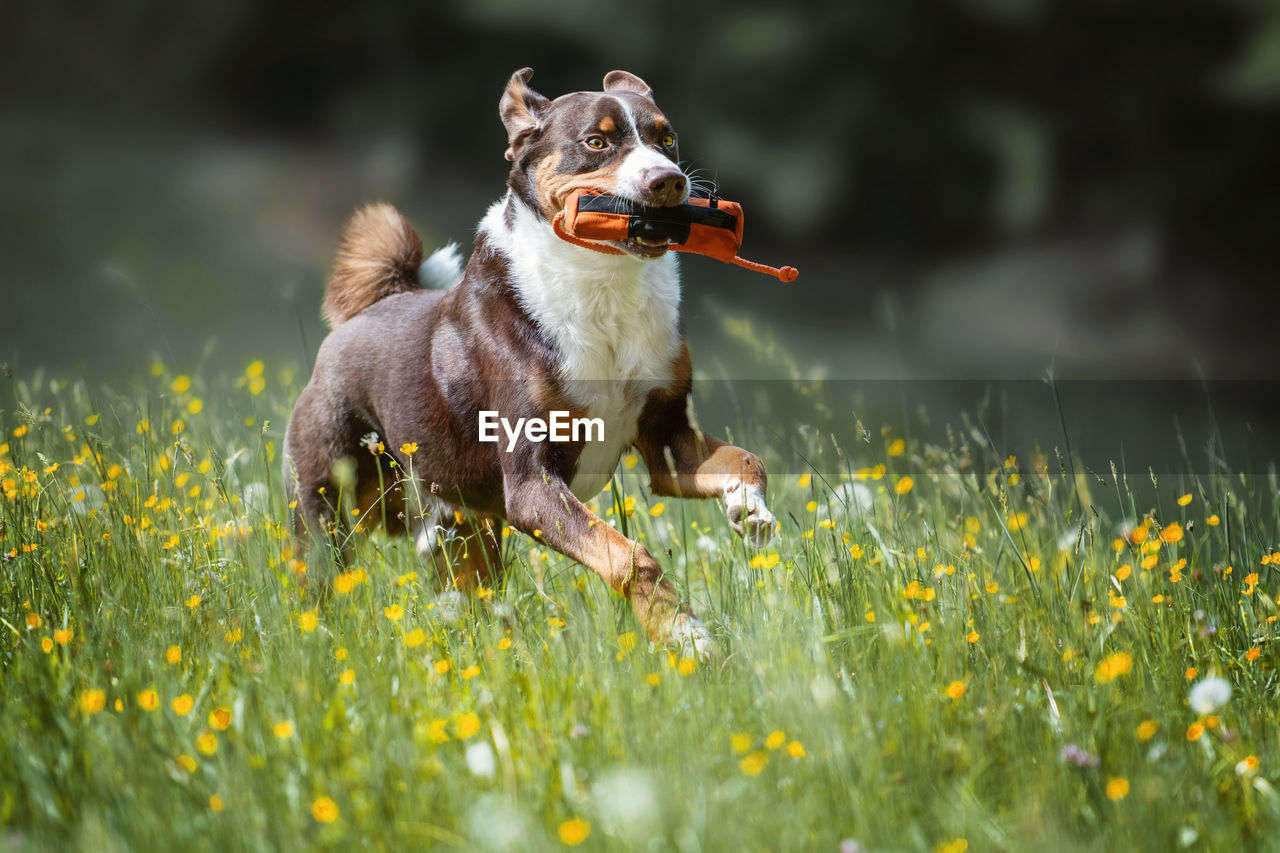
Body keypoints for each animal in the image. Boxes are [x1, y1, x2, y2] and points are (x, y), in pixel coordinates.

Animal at [285, 68, 773, 655]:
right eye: (596, 142)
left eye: (667, 138)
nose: (669, 181)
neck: (603, 289)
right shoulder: (530, 483)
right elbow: (630, 558)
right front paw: (686, 636)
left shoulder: (667, 437)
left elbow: (746, 461)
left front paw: (750, 510)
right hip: (328, 512)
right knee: (317, 583)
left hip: (460, 533)